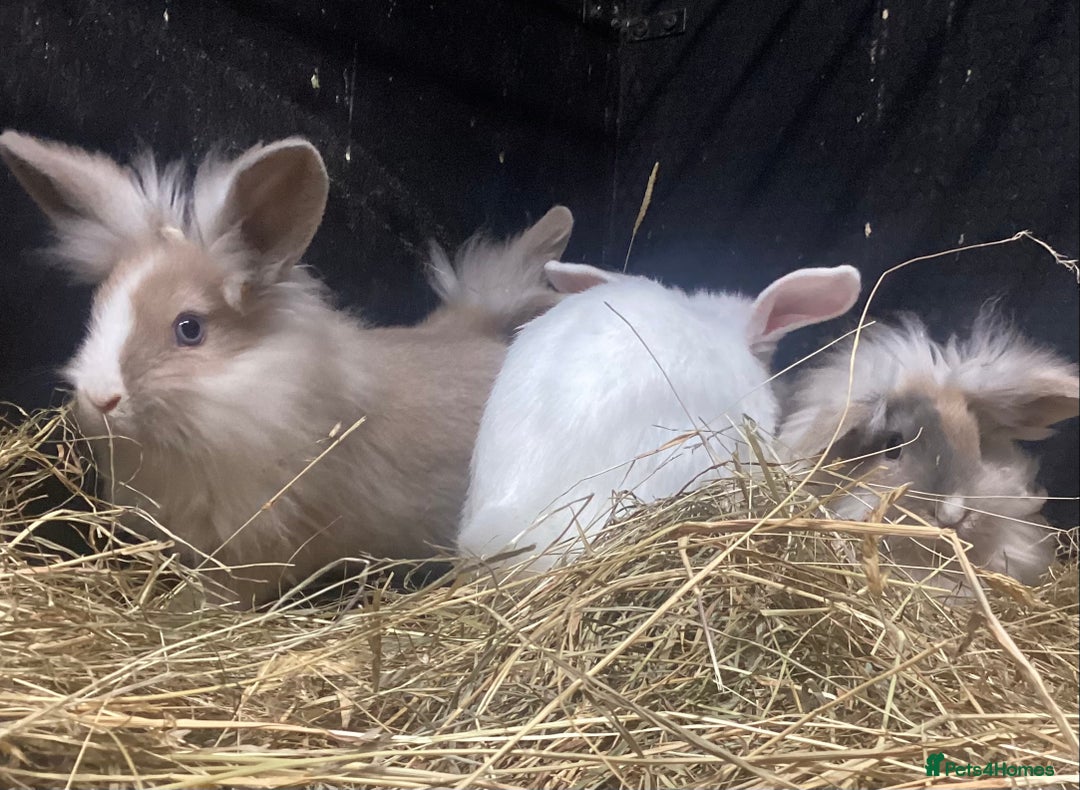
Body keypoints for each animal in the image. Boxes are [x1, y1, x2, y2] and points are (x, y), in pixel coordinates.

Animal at [0, 129, 573, 608]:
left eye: (190, 328)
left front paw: (177, 614)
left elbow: (219, 593)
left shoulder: (257, 544)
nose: (100, 398)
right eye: (97, 311)